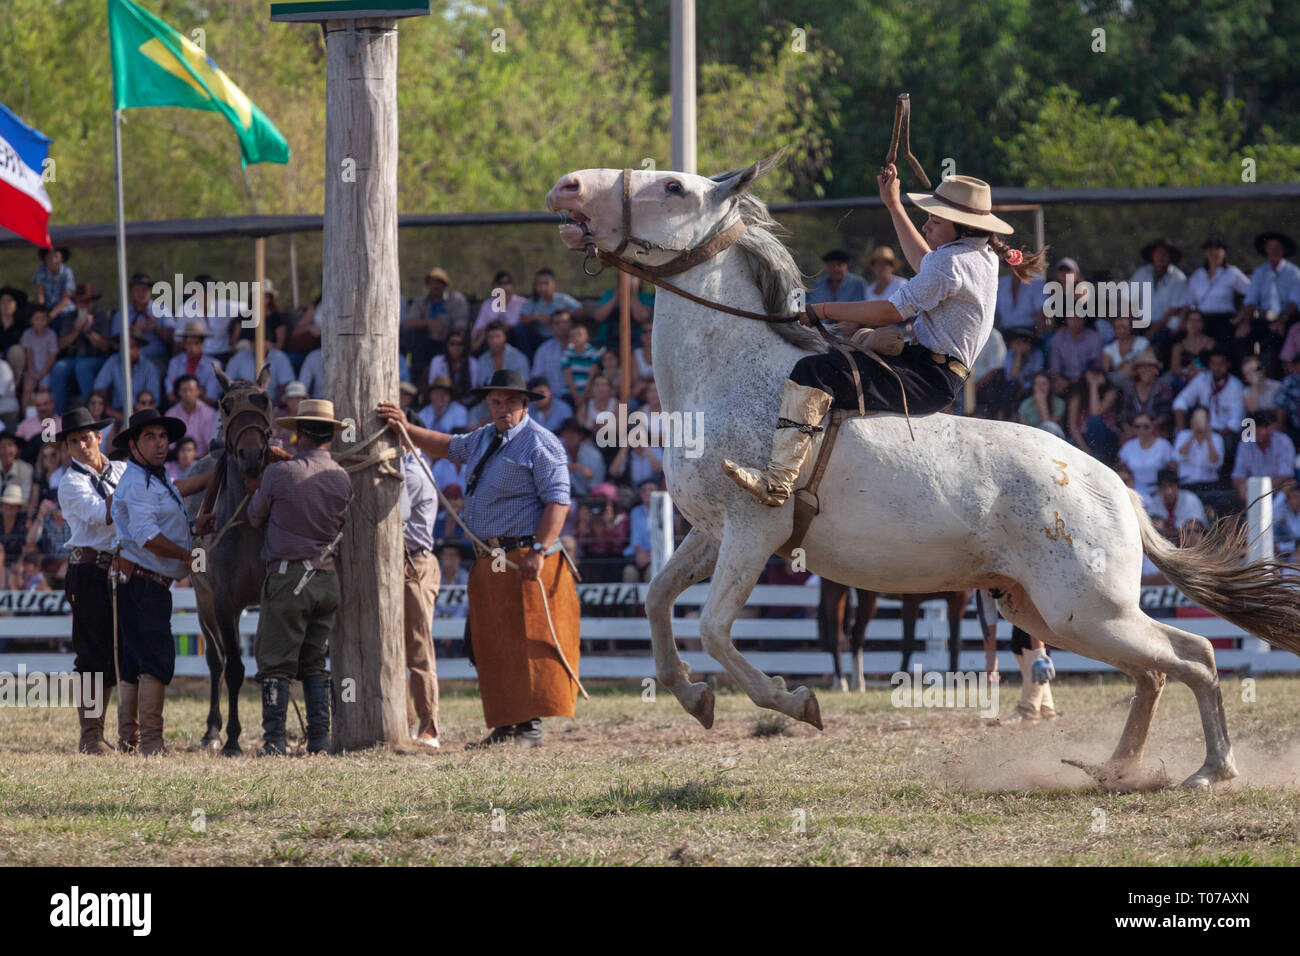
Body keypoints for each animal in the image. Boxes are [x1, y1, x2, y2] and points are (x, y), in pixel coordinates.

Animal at [546, 157, 1300, 788]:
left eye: (673, 186)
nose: (568, 187)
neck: (730, 370)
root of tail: (1112, 485)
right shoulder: (710, 533)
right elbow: (656, 600)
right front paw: (693, 695)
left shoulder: (753, 531)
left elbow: (712, 628)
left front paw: (795, 699)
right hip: (1052, 611)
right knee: (1154, 672)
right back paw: (1119, 767)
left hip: (1086, 608)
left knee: (1194, 655)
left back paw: (1212, 769)